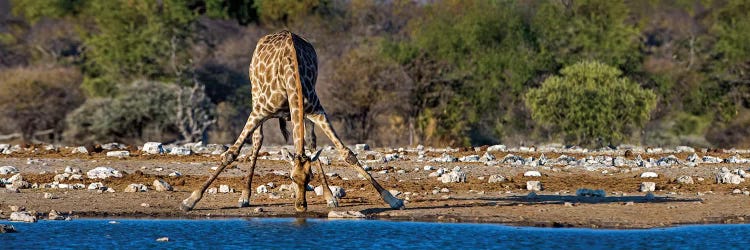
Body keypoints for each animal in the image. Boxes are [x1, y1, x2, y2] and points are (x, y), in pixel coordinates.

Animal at [181, 30, 406, 212]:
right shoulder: (259, 111)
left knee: (311, 142)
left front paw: (392, 199)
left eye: (310, 178)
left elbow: (347, 153)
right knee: (257, 140)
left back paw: (329, 196)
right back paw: (244, 196)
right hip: (255, 94)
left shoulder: (317, 111)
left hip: (304, 115)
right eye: (290, 177)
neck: (291, 79)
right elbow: (231, 154)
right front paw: (190, 201)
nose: (300, 206)